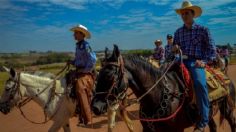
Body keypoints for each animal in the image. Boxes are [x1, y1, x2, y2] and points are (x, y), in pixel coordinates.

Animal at [92, 44, 236, 131]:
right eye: (98, 75)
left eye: (110, 76)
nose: (95, 107)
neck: (158, 95)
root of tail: (222, 75)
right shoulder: (148, 129)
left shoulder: (177, 129)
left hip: (227, 110)